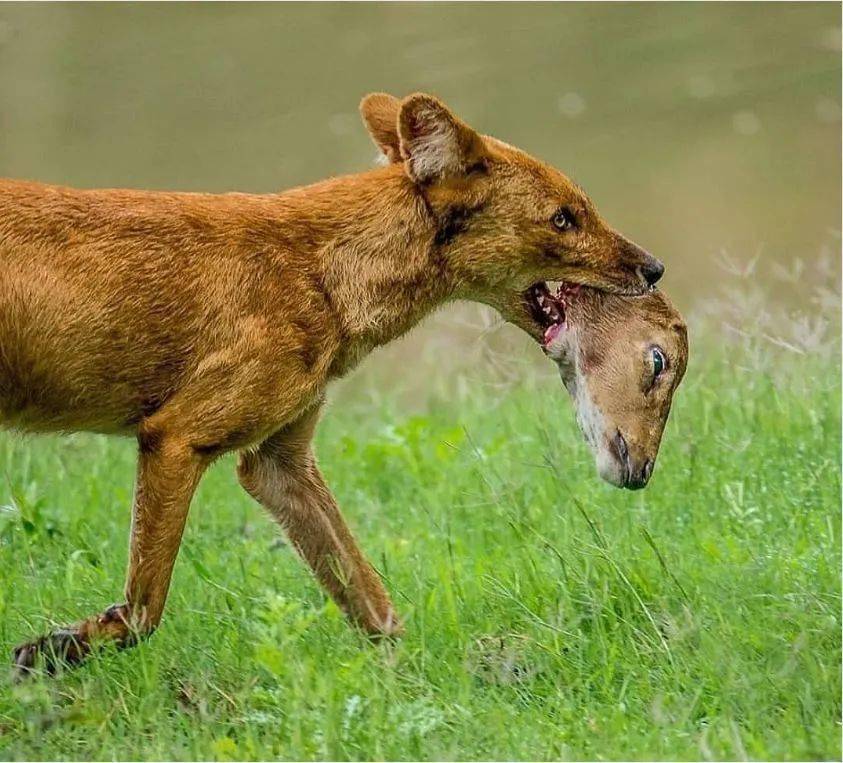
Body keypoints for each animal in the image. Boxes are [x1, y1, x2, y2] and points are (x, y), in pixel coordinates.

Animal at [3, 91, 668, 676]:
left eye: (583, 208)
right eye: (564, 218)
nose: (656, 267)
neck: (325, 272)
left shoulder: (278, 463)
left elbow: (372, 602)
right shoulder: (176, 437)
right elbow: (143, 610)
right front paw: (50, 650)